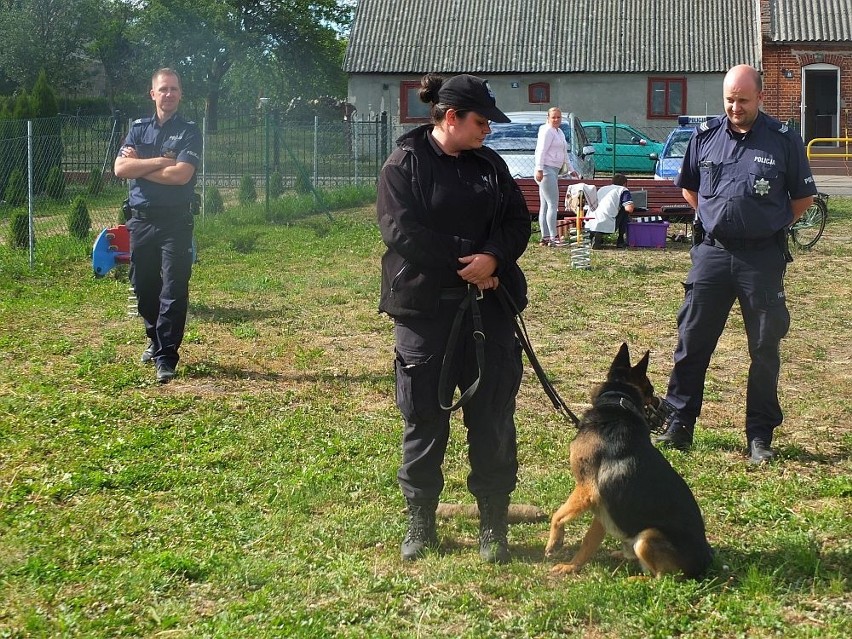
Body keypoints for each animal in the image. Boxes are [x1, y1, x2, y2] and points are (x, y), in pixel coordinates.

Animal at [544, 344, 712, 580]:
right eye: (650, 392)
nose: (664, 407)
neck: (618, 402)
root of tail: (704, 565)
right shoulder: (602, 509)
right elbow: (588, 542)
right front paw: (572, 567)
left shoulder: (586, 490)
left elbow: (558, 515)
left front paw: (554, 542)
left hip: (647, 537)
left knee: (662, 579)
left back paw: (631, 578)